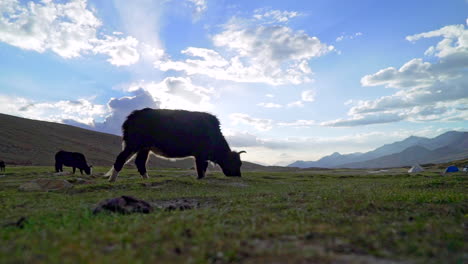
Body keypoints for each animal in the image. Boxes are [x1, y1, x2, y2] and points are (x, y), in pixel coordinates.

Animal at [106, 108, 245, 183]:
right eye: (236, 163)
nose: (238, 175)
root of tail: (133, 115)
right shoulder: (201, 155)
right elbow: (201, 168)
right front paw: (200, 179)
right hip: (133, 144)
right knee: (121, 158)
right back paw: (112, 180)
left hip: (144, 147)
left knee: (140, 162)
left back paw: (147, 179)